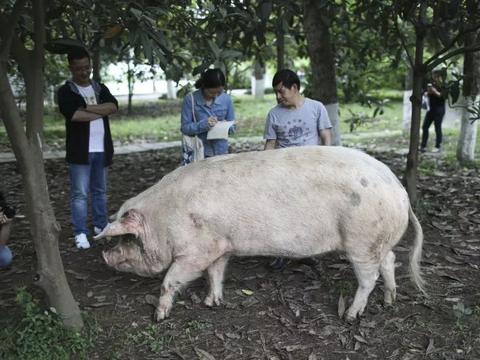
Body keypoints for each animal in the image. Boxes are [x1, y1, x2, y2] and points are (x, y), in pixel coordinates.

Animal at [95, 145, 426, 322]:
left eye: (127, 237)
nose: (105, 254)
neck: (163, 218)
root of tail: (399, 190)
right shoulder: (220, 245)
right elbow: (216, 273)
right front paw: (212, 303)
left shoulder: (195, 251)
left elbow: (170, 280)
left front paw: (159, 317)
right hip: (376, 241)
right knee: (390, 261)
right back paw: (390, 301)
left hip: (360, 240)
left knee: (369, 277)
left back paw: (350, 316)